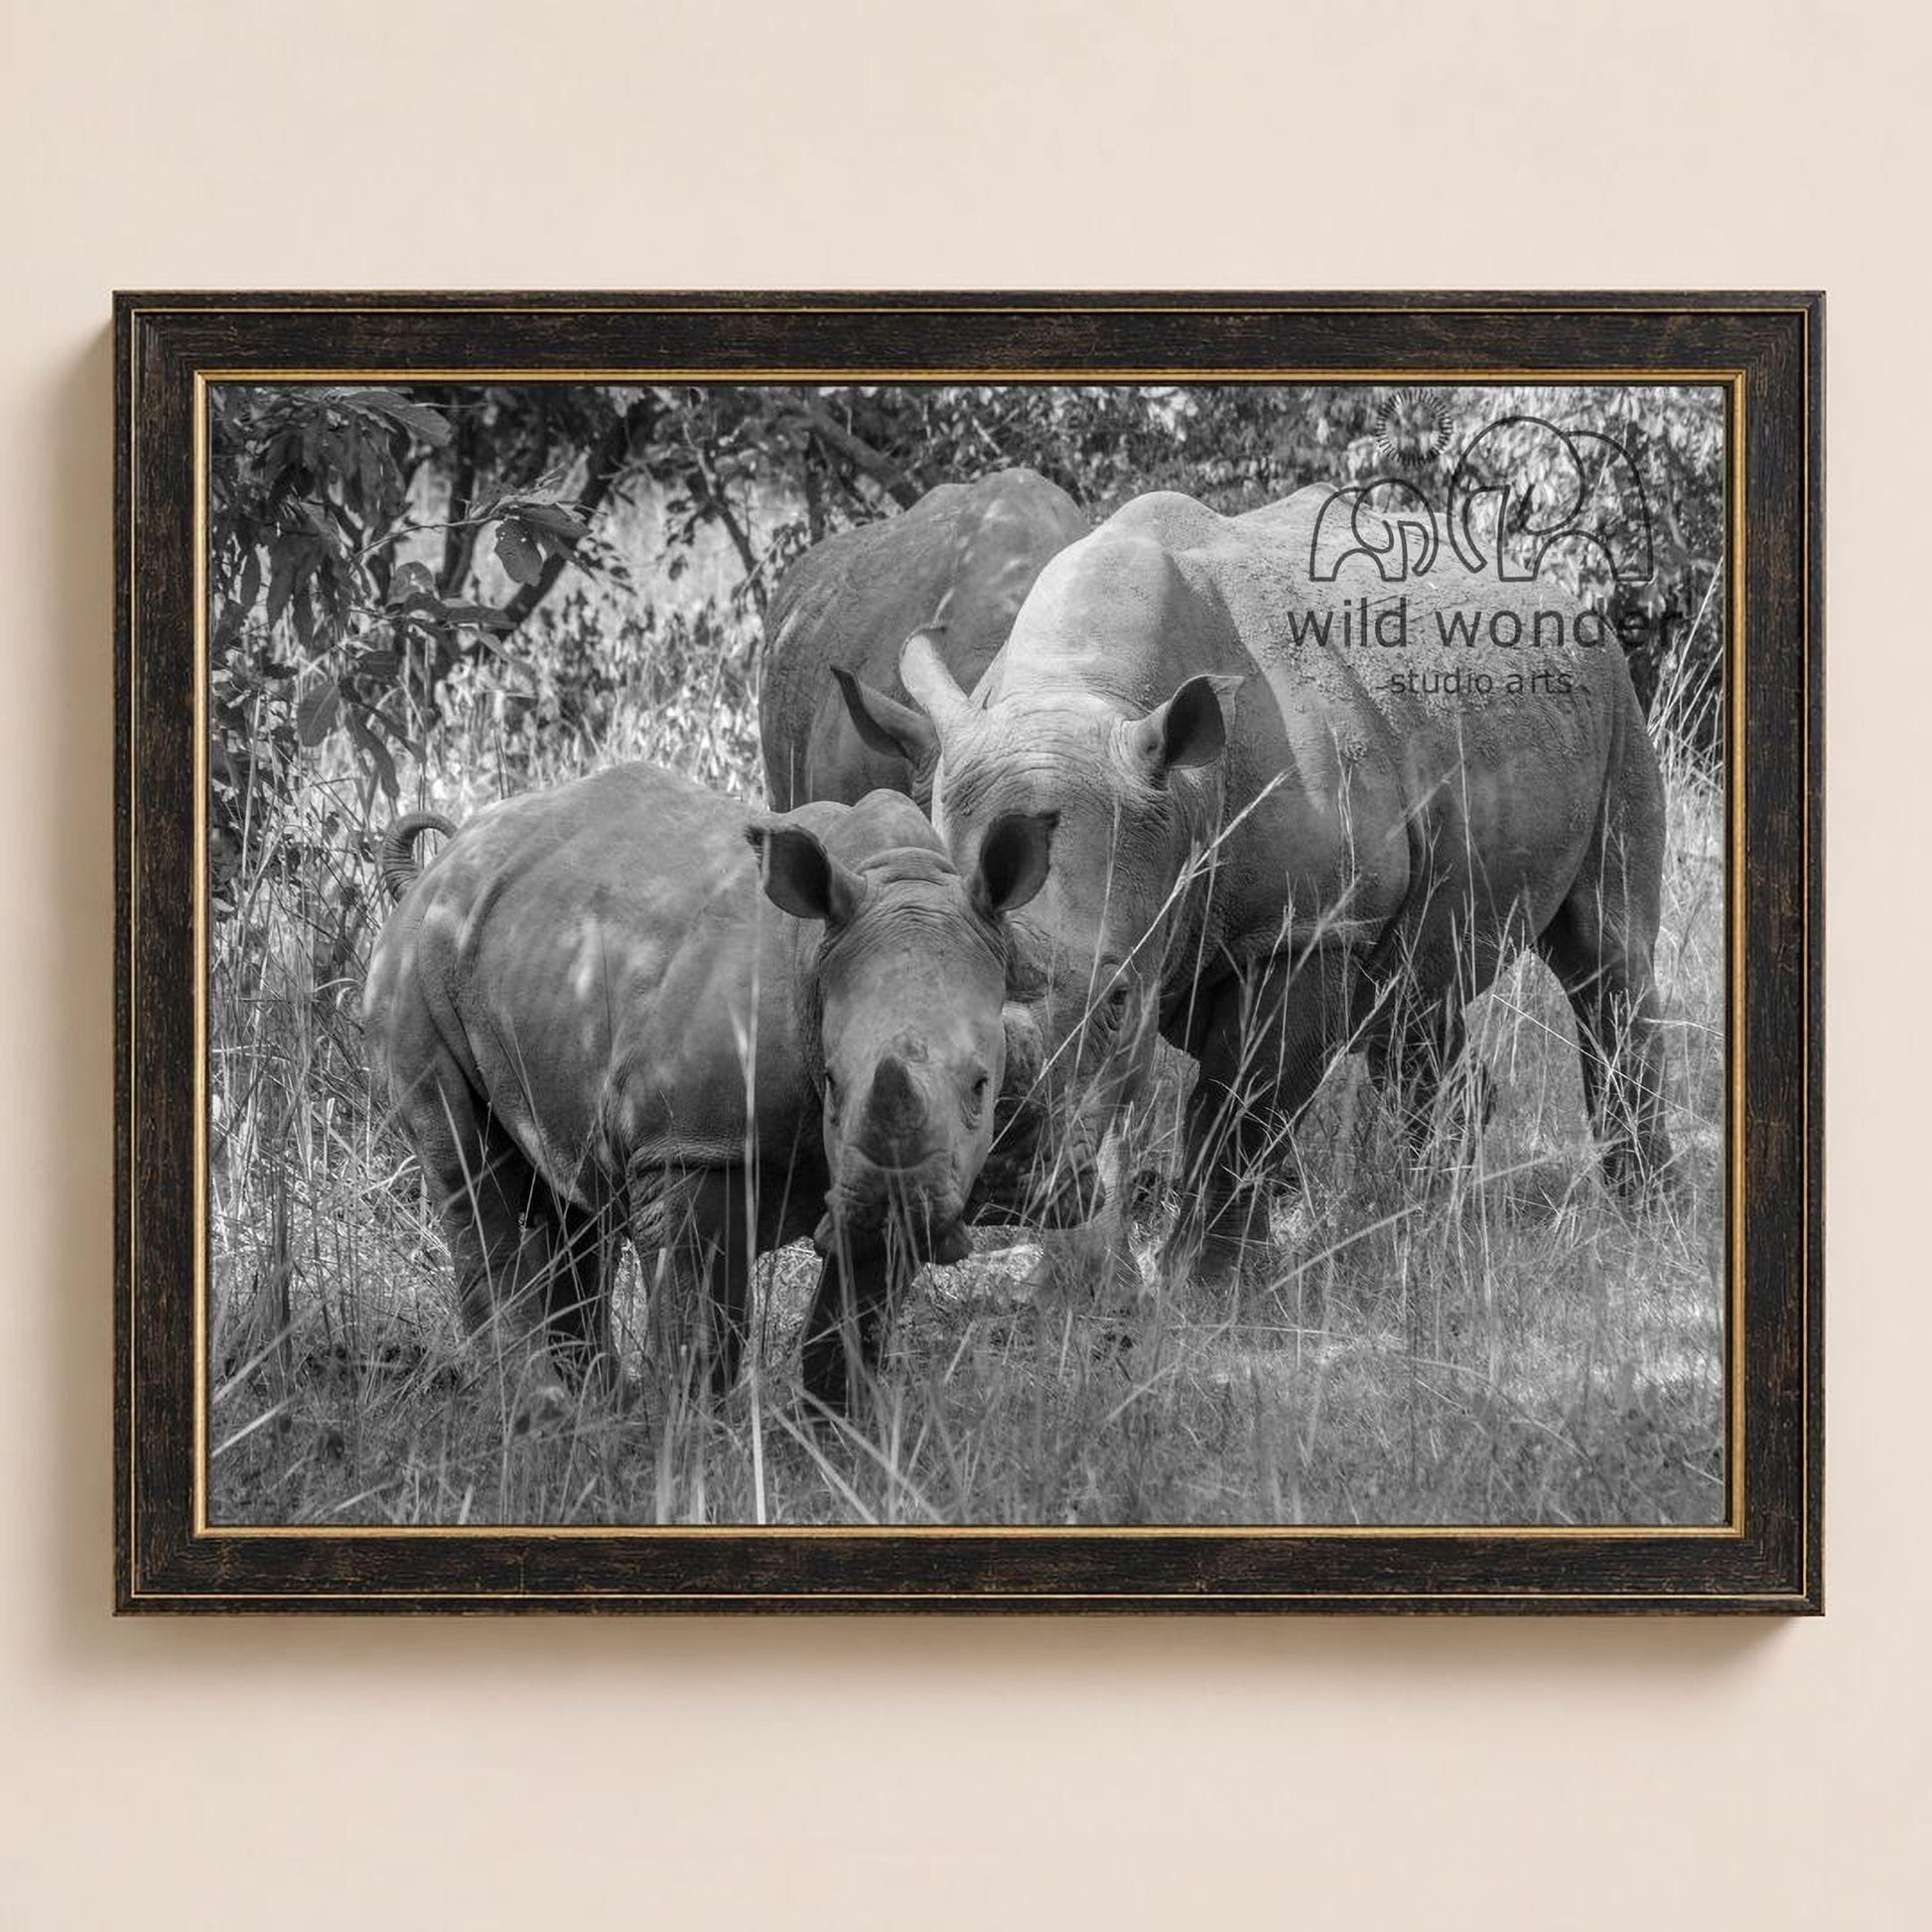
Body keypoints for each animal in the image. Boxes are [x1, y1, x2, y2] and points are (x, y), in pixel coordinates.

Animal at [362, 764, 1056, 1418]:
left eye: (980, 1086)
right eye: (832, 1082)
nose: (894, 1209)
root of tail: (442, 863)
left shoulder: (914, 1166)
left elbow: (852, 1322)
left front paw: (836, 1435)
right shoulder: (693, 1147)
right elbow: (701, 1326)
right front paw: (691, 1437)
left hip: (531, 950)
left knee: (571, 1196)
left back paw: (597, 1412)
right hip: (415, 962)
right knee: (472, 1182)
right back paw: (540, 1415)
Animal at [779, 485, 1675, 1289]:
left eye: (1118, 1002)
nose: (998, 1182)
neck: (1084, 691)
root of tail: (1564, 595)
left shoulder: (1305, 928)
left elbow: (1241, 1104)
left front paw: (1204, 1286)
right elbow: (1159, 1110)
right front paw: (1095, 1282)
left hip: (1613, 697)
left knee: (1605, 957)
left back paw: (1641, 1220)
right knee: (1415, 996)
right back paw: (1424, 1229)